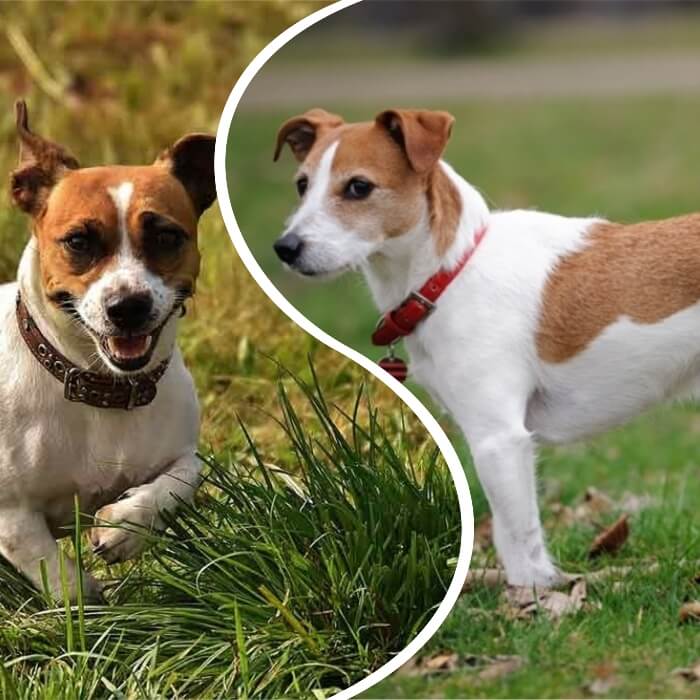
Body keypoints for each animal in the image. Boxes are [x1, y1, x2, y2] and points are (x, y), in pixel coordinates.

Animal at [0, 101, 215, 600]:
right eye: (79, 241)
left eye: (166, 237)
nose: (128, 306)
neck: (101, 386)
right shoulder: (13, 516)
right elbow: (65, 582)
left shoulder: (182, 450)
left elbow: (185, 477)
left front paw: (126, 525)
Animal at [274, 106, 700, 588]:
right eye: (302, 184)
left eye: (359, 187)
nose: (285, 248)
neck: (450, 269)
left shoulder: (499, 439)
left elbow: (521, 545)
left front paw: (535, 596)